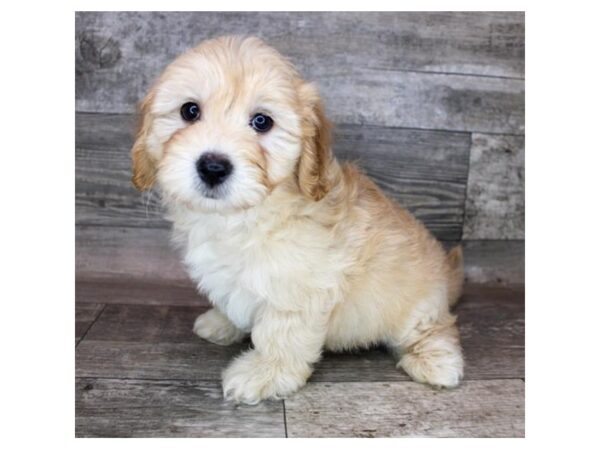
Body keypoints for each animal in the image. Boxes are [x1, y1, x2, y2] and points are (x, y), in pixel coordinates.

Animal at [131, 36, 464, 404]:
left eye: (262, 122)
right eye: (189, 111)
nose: (213, 167)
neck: (245, 216)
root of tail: (446, 276)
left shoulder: (298, 287)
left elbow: (281, 334)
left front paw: (264, 373)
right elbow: (231, 299)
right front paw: (221, 323)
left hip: (417, 306)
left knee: (435, 328)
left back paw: (435, 361)